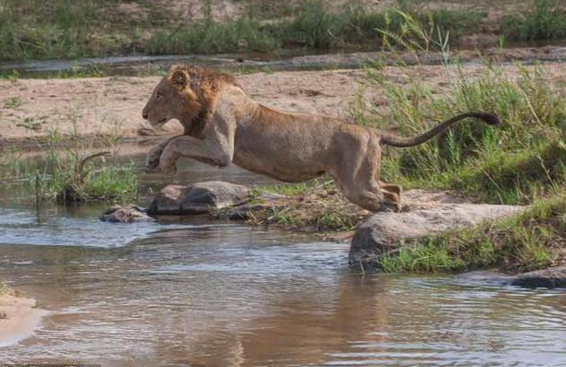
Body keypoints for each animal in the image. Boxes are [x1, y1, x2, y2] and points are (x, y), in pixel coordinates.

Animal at [143, 66, 502, 213]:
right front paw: (152, 158)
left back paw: (385, 217)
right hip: (363, 176)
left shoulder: (220, 148)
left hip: (354, 182)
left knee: (386, 195)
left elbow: (178, 141)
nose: (144, 114)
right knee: (395, 187)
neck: (200, 101)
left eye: (159, 94)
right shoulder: (200, 135)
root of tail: (373, 131)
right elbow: (173, 138)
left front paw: (165, 163)